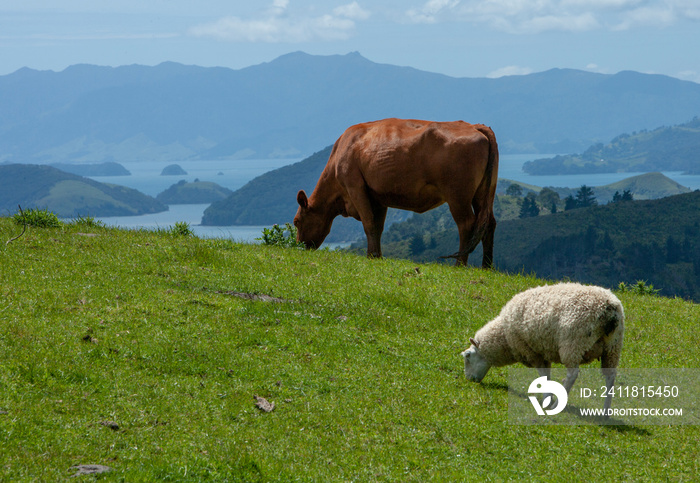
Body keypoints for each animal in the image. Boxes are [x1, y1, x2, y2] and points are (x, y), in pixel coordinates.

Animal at [294, 117, 498, 268]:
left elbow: (368, 223)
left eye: (296, 221)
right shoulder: (378, 197)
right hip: (483, 193)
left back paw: (459, 265)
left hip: (458, 196)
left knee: (466, 224)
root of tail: (475, 126)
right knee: (488, 223)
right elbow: (378, 226)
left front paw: (371, 256)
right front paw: (377, 256)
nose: (299, 247)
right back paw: (486, 266)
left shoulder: (355, 188)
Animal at [462, 284, 628, 412]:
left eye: (468, 356)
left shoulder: (532, 351)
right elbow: (547, 375)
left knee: (572, 374)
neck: (504, 337)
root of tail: (609, 307)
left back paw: (557, 405)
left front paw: (548, 399)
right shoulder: (543, 351)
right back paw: (605, 411)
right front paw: (549, 396)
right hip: (613, 348)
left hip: (573, 344)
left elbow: (543, 375)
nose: (470, 380)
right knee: (610, 377)